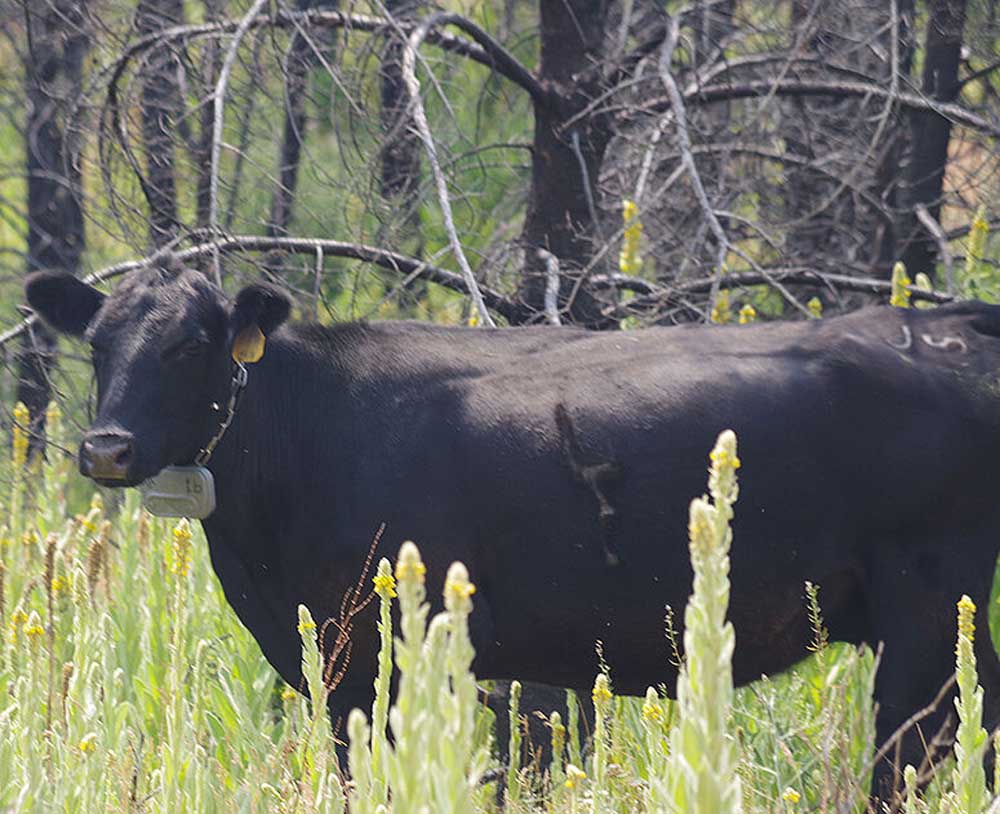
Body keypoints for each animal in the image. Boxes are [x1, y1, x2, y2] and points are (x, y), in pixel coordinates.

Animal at [24, 260, 1000, 799]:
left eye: (192, 344)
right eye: (98, 344)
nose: (105, 447)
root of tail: (938, 321)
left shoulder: (405, 645)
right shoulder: (342, 667)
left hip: (924, 614)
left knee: (909, 762)